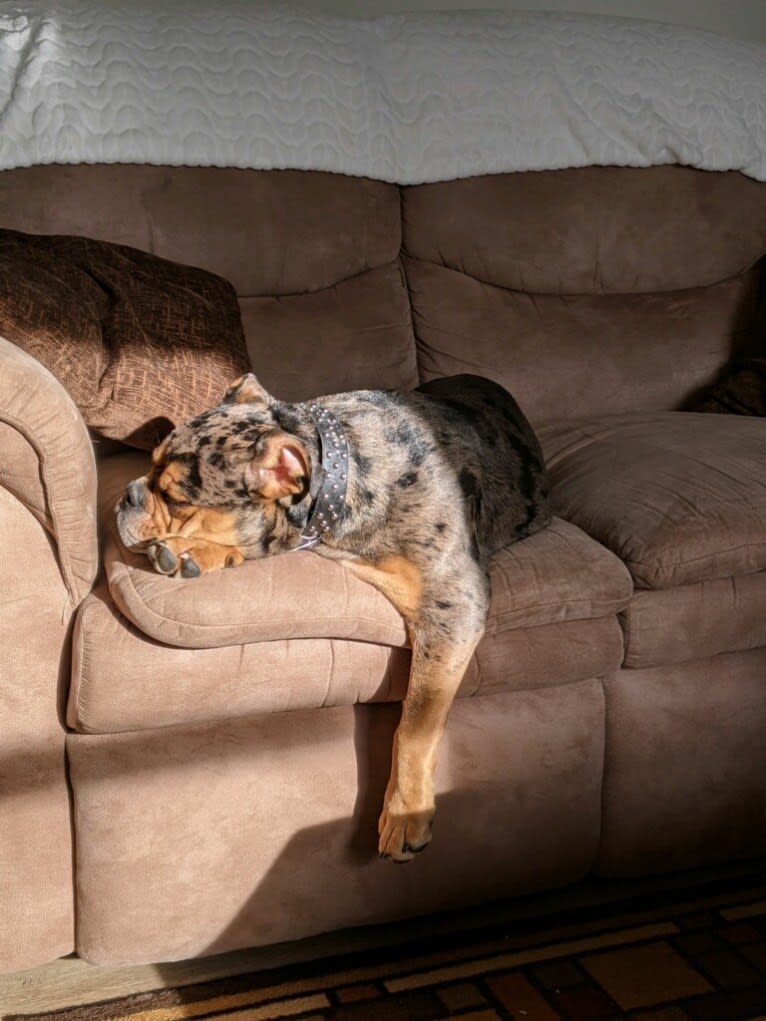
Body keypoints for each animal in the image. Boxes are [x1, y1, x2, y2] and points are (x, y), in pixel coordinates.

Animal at [115, 375, 551, 861]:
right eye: (149, 465)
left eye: (175, 497)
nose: (126, 495)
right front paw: (196, 551)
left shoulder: (454, 598)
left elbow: (415, 723)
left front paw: (406, 811)